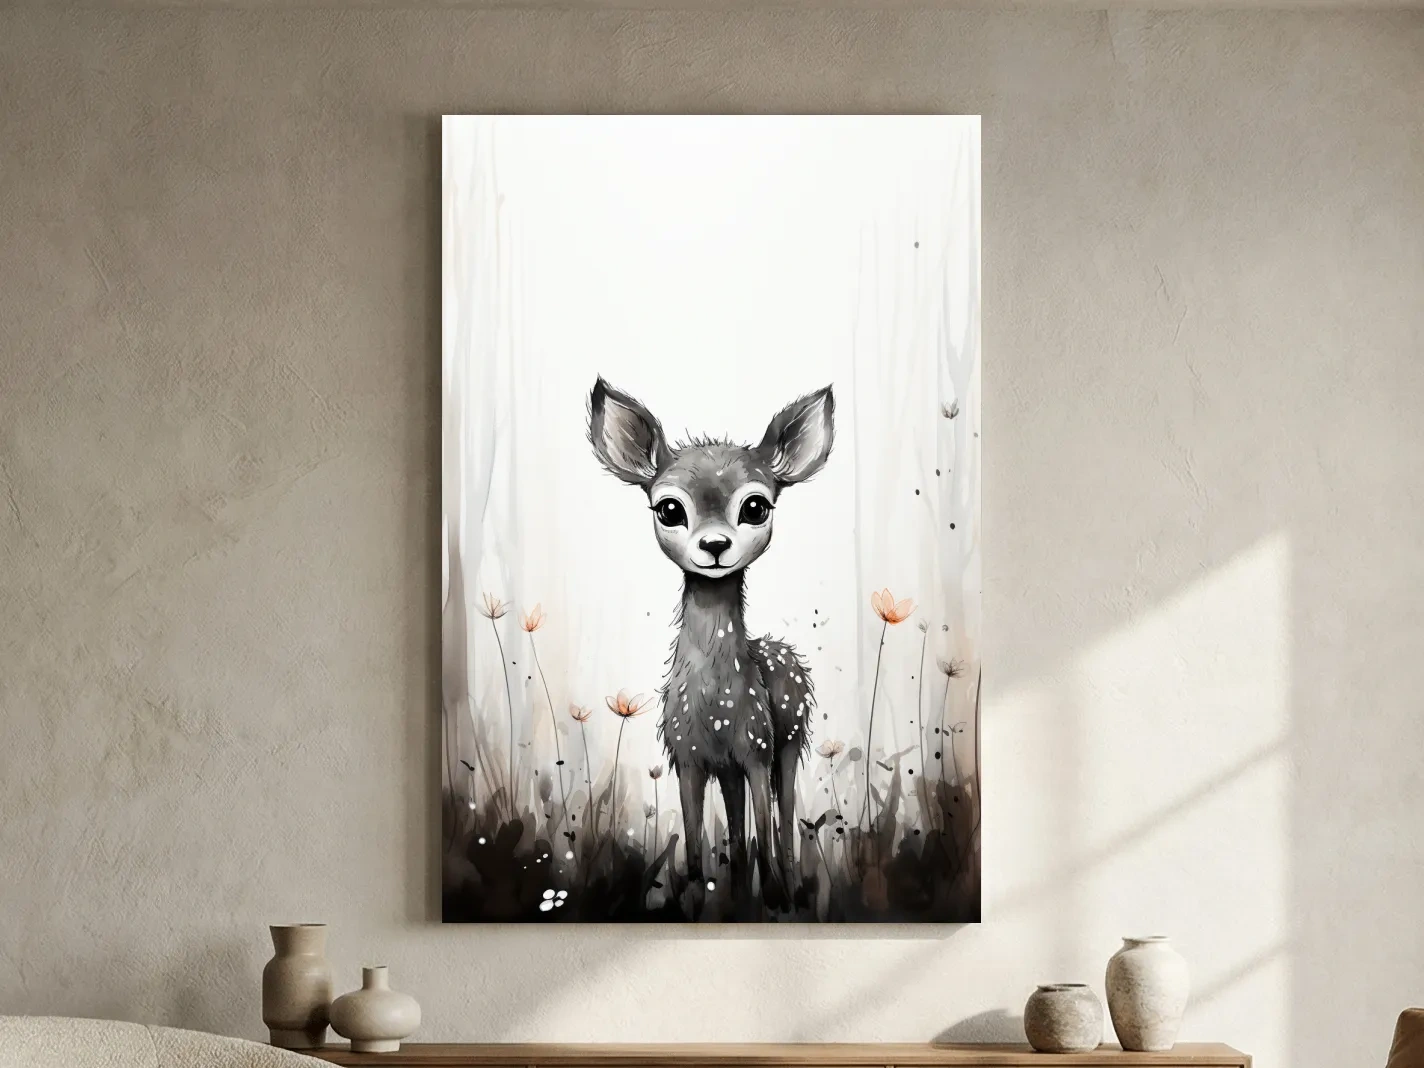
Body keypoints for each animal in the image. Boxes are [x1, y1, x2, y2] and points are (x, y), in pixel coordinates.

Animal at [587, 377, 835, 912]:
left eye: (756, 506)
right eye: (669, 508)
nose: (716, 546)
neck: (716, 704)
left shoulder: (757, 748)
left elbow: (766, 827)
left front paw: (775, 898)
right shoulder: (689, 757)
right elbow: (698, 851)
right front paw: (699, 899)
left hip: (789, 740)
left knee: (783, 823)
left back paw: (786, 889)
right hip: (731, 768)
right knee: (739, 835)